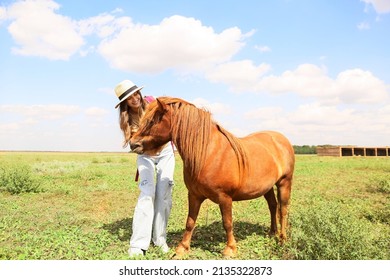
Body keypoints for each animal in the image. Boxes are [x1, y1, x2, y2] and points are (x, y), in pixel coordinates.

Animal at [129, 97, 294, 258]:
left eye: (152, 121)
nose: (132, 144)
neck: (207, 153)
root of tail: (282, 139)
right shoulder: (194, 195)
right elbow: (190, 222)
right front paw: (182, 248)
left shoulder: (225, 197)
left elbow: (227, 222)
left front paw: (230, 249)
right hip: (267, 187)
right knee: (273, 206)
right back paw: (272, 233)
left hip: (284, 183)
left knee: (283, 209)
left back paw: (282, 239)